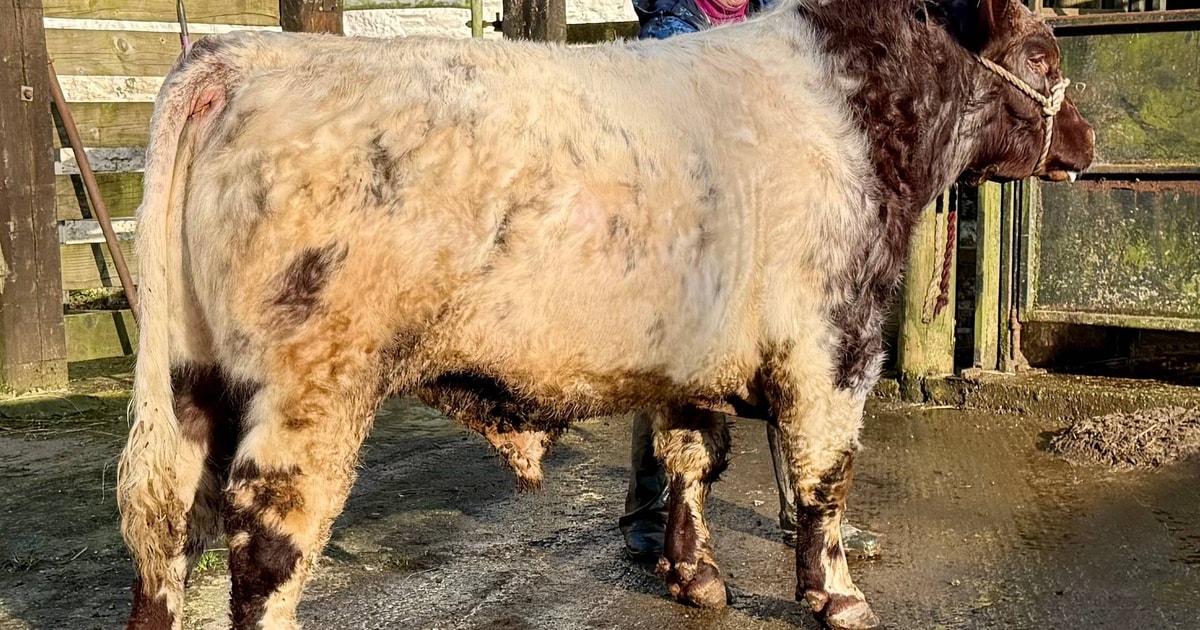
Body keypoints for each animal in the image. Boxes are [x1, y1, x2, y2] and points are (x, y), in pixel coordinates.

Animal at [116, 0, 1094, 628]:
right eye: (1043, 56)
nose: (1086, 139)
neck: (855, 109)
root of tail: (236, 55)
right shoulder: (836, 342)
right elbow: (825, 476)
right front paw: (841, 598)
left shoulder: (697, 353)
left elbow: (694, 458)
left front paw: (697, 578)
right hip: (310, 387)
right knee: (265, 550)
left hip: (193, 381)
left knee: (165, 533)